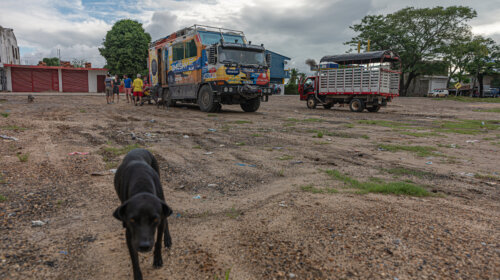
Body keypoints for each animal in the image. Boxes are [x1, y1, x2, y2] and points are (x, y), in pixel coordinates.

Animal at [113, 148, 172, 278]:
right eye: (132, 220)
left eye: (155, 219)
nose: (144, 246)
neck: (142, 186)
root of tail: (138, 148)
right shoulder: (130, 233)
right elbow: (134, 258)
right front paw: (138, 275)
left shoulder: (160, 221)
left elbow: (158, 242)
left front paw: (157, 260)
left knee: (166, 218)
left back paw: (168, 239)